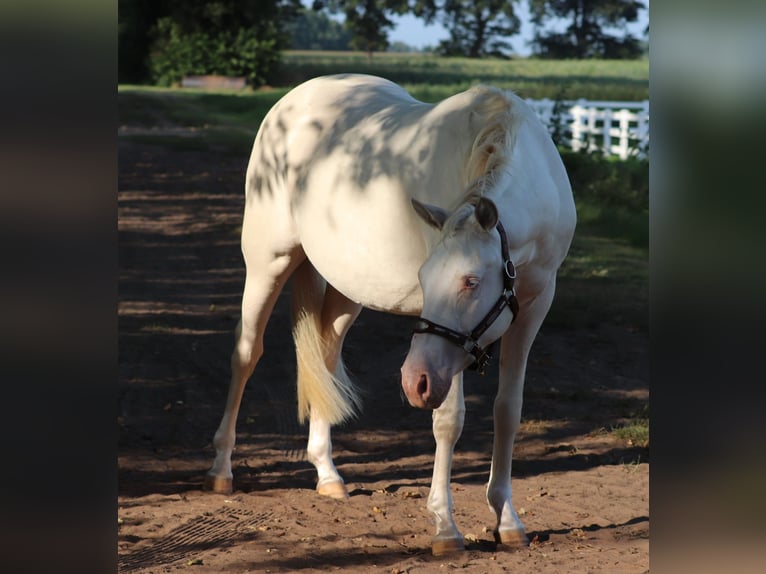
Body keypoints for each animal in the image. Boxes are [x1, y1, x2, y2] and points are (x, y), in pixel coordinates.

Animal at [204, 74, 576, 556]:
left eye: (470, 281)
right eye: (423, 276)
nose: (413, 381)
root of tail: (293, 100)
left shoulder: (533, 306)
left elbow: (508, 411)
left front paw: (507, 519)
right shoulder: (447, 356)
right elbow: (448, 421)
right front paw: (445, 526)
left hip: (348, 290)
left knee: (325, 356)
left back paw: (327, 472)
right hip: (268, 260)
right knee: (247, 353)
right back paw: (221, 469)